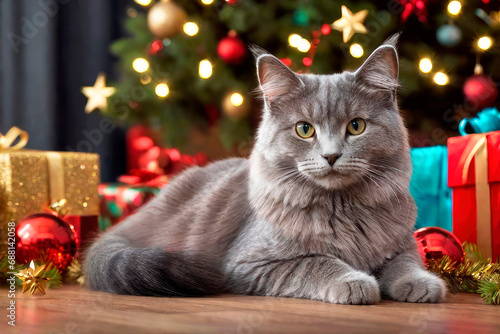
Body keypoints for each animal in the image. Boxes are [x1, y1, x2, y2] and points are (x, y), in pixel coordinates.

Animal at [85, 37, 446, 306]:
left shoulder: (402, 243)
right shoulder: (252, 263)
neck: (342, 208)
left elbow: (406, 263)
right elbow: (317, 263)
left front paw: (424, 285)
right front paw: (356, 282)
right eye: (304, 129)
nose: (331, 156)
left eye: (356, 126)